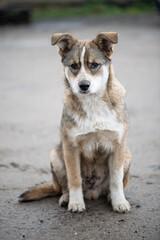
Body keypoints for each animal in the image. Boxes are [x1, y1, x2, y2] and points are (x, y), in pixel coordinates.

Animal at [19, 32, 131, 214]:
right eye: (73, 66)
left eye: (94, 65)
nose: (83, 85)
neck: (93, 103)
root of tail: (93, 191)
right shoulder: (71, 147)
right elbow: (74, 178)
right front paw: (76, 203)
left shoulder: (118, 145)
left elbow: (116, 179)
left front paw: (119, 202)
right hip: (56, 156)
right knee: (63, 187)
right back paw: (66, 198)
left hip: (127, 154)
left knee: (113, 185)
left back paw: (109, 197)